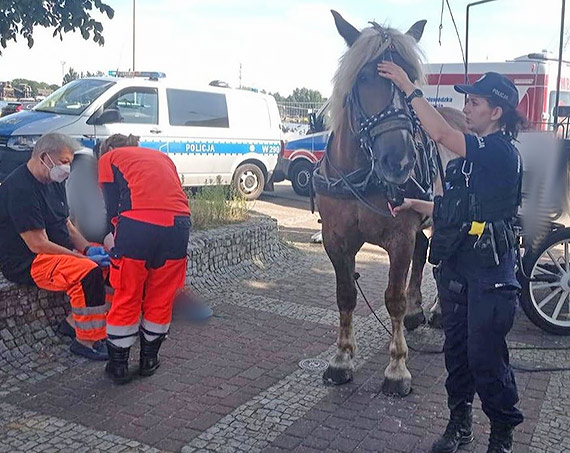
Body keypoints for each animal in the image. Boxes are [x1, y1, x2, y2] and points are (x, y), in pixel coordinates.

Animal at [312, 11, 464, 396]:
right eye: (365, 76)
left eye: (412, 82)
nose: (400, 161)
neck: (361, 176)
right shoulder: (336, 240)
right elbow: (346, 295)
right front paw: (341, 359)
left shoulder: (400, 237)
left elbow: (392, 298)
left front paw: (397, 367)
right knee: (425, 254)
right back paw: (416, 312)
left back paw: (438, 311)